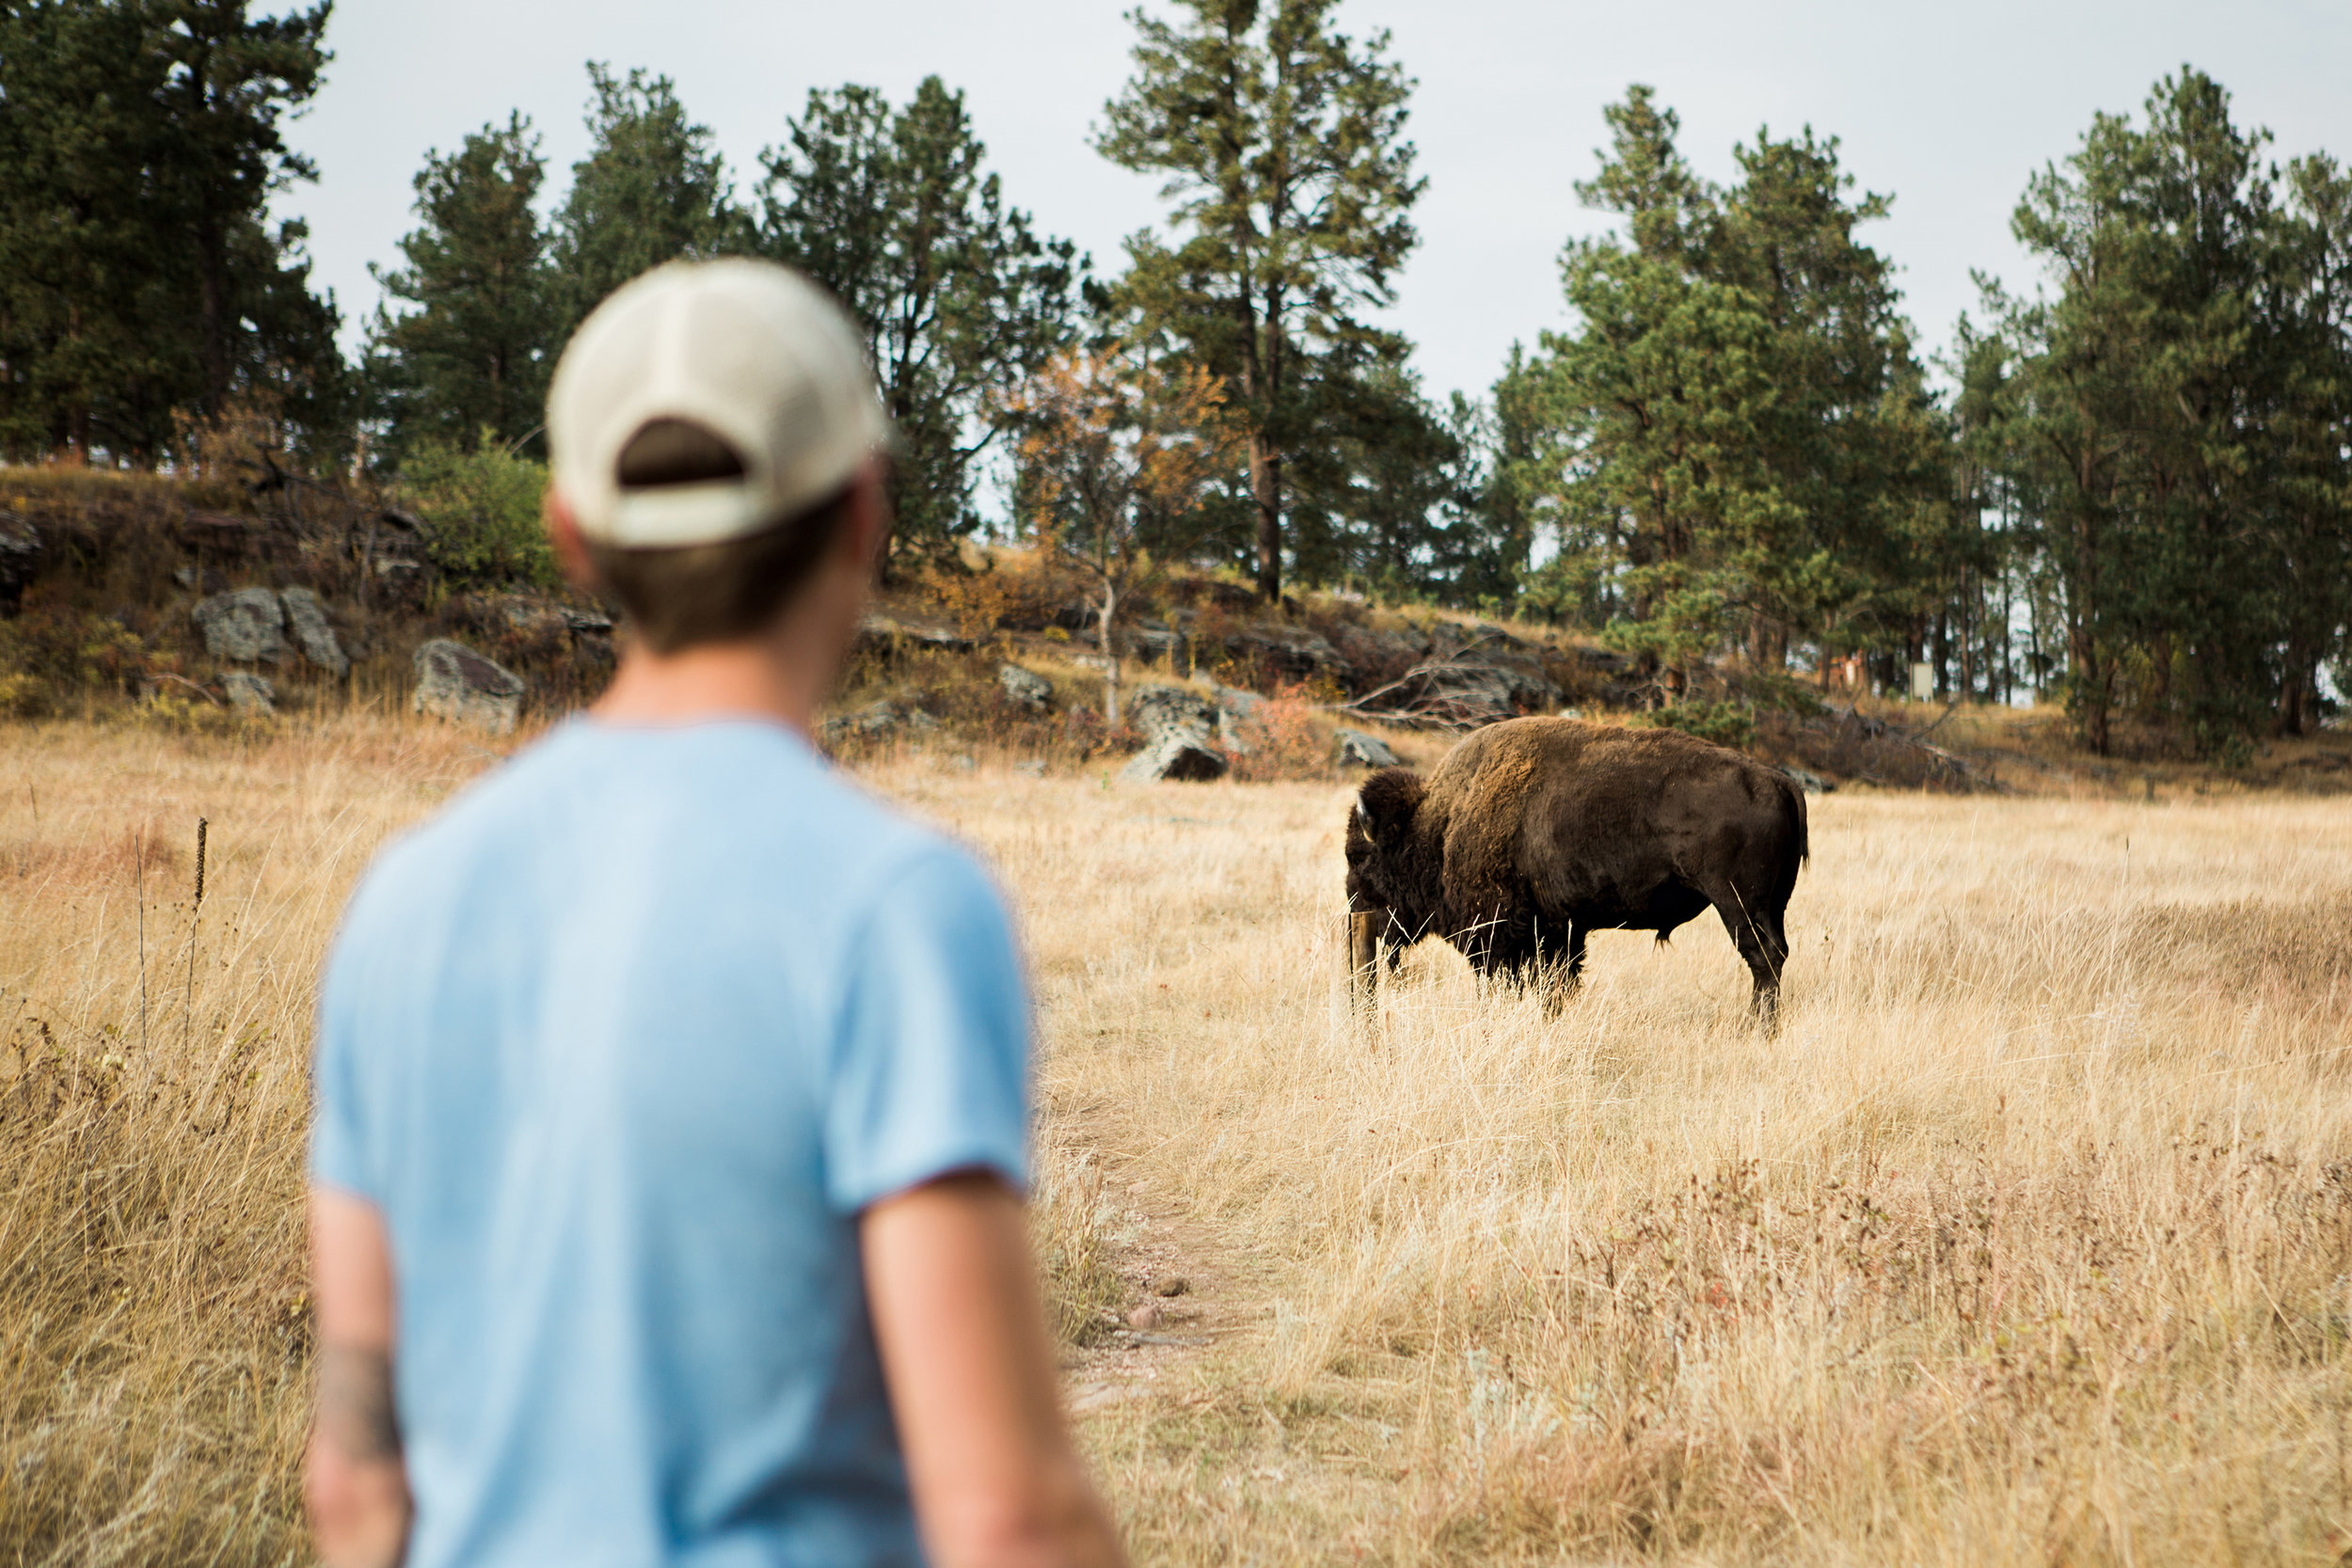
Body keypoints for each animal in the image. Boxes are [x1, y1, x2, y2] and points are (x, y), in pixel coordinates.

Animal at [1345, 719, 1816, 1024]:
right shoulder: (1559, 930)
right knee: (1775, 956)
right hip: (1774, 903)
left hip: (1737, 902)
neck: (1438, 823)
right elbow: (1556, 981)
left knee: (1762, 958)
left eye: (1360, 858)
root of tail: (1780, 781)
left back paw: (1757, 1027)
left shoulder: (1502, 935)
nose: (1356, 911)